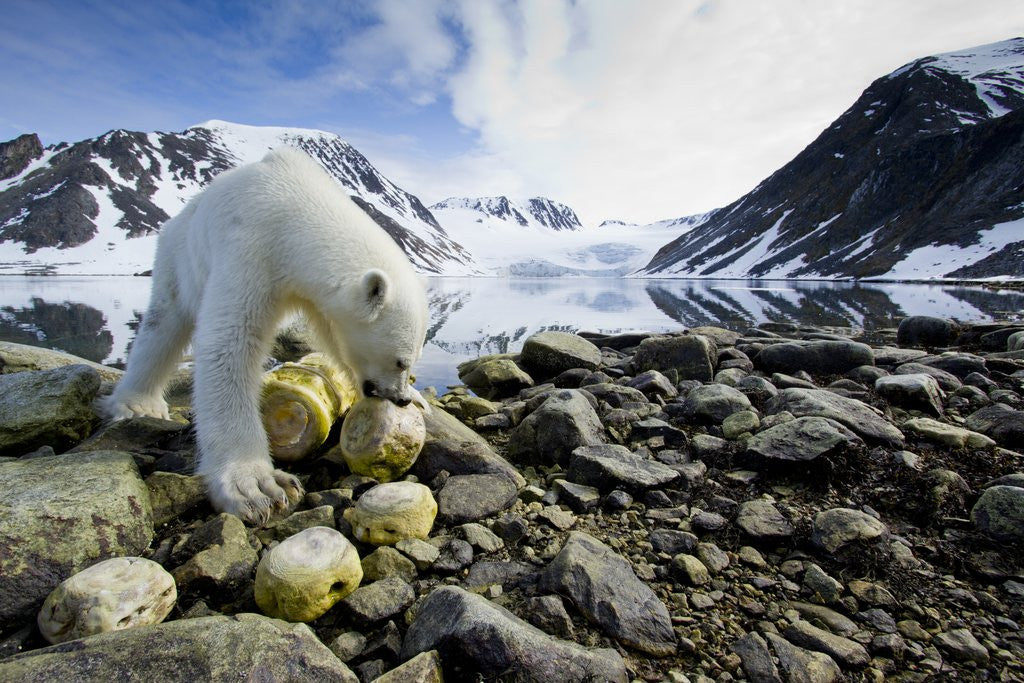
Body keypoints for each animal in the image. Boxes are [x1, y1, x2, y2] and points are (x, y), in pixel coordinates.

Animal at [104, 147, 429, 524]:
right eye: (399, 360)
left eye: (412, 362)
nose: (400, 398)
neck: (295, 211)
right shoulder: (251, 248)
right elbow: (228, 344)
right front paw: (256, 486)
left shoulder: (310, 291)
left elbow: (333, 337)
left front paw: (419, 399)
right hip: (178, 255)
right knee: (164, 321)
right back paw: (138, 403)